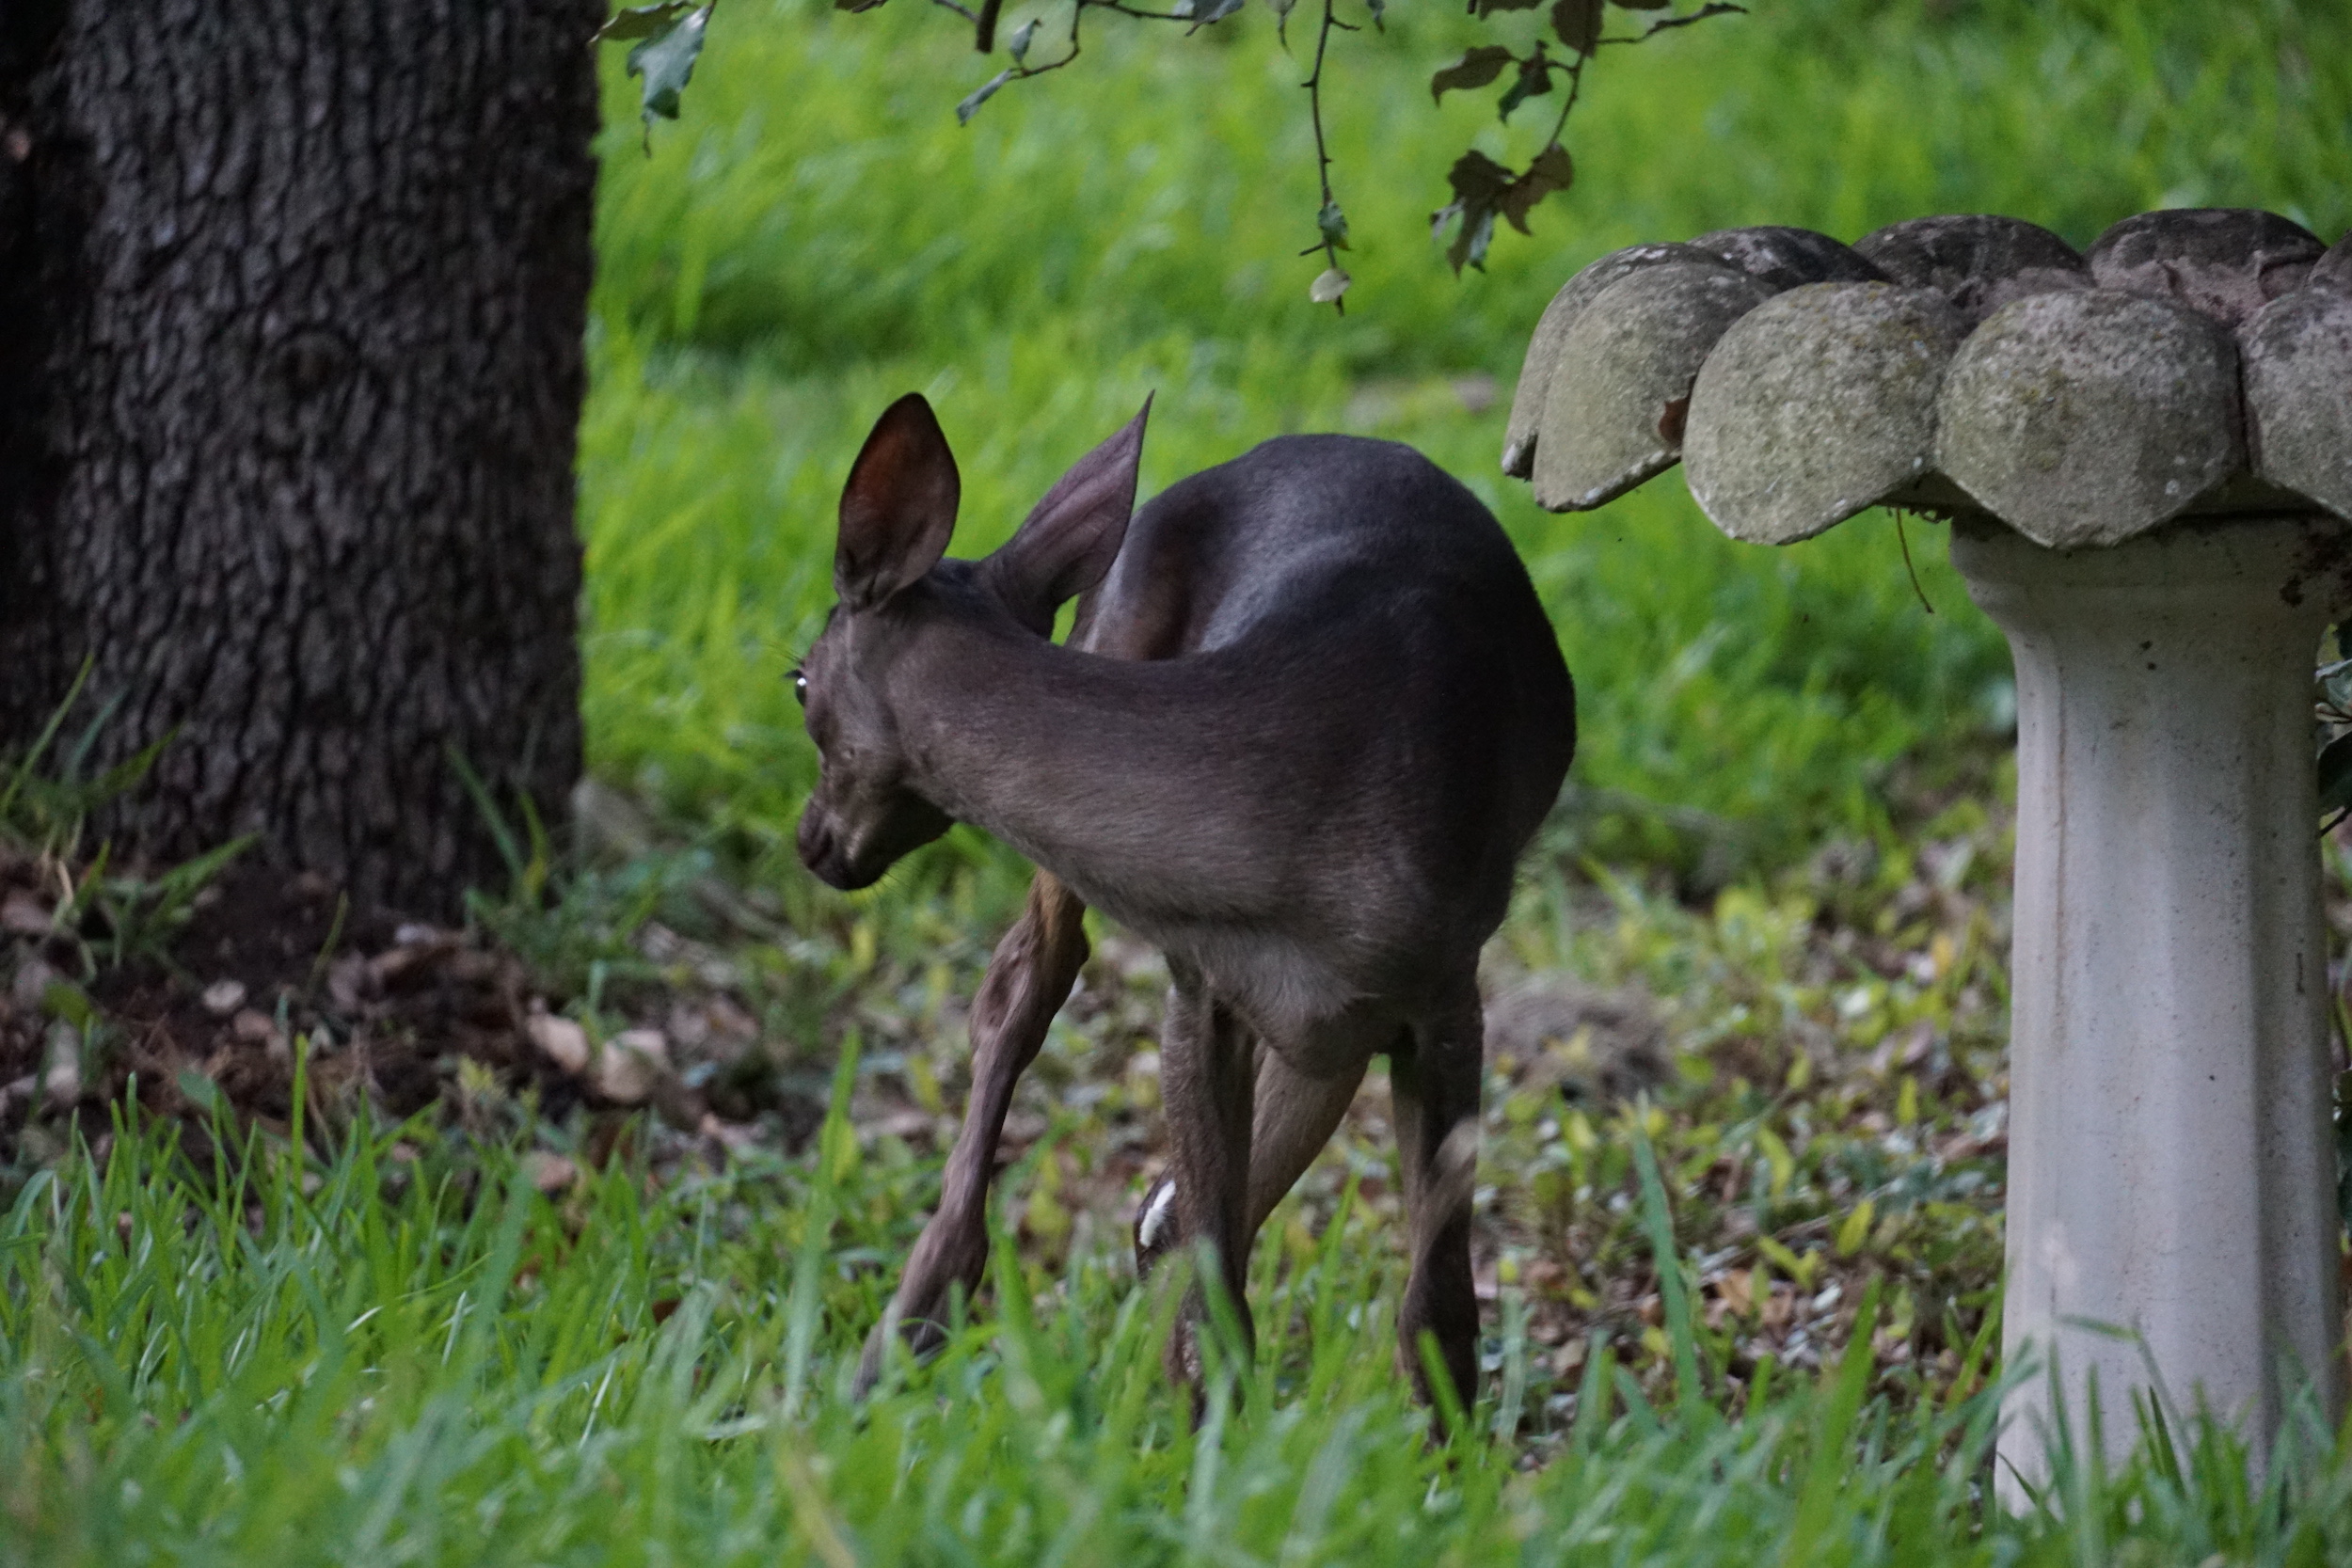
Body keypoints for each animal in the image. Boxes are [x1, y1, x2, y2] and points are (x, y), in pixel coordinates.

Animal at [795, 389, 1581, 1410]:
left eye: (796, 681)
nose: (810, 839)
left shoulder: (1447, 984)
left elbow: (1435, 1307)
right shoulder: (1198, 983)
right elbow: (1219, 1284)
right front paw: (1205, 1431)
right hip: (1109, 632)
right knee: (1026, 984)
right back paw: (920, 1318)